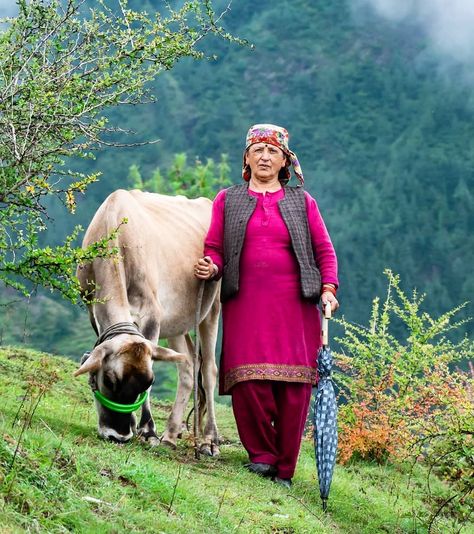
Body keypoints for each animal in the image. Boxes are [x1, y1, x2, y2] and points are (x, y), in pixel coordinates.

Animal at [75, 189, 221, 456]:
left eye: (148, 381)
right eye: (108, 380)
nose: (119, 435)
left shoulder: (151, 314)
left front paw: (148, 430)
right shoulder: (93, 310)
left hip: (212, 307)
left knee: (208, 370)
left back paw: (209, 440)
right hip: (176, 321)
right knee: (188, 364)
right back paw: (171, 435)